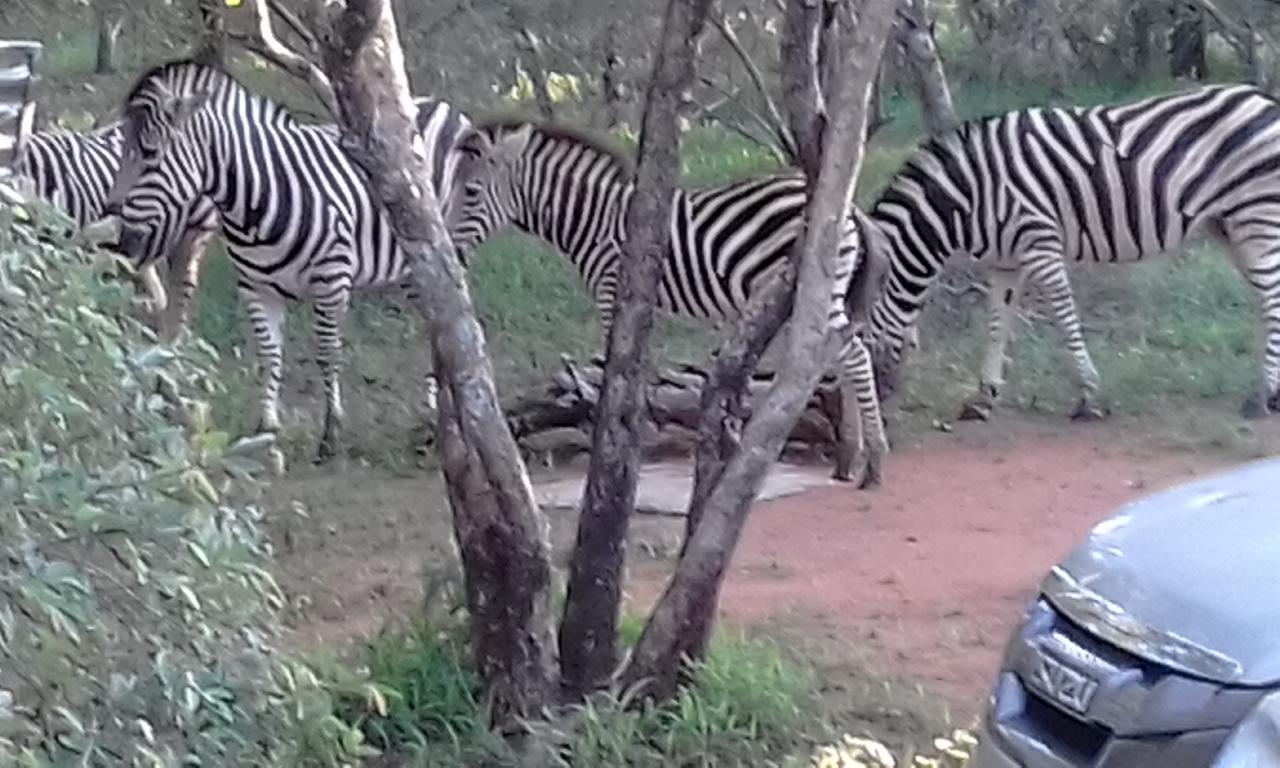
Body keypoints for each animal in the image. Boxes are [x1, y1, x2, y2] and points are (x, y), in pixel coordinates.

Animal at [101, 60, 471, 460]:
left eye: (150, 154)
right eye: (124, 152)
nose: (118, 238)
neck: (254, 203)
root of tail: (440, 104)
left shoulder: (331, 282)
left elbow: (327, 354)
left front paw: (331, 433)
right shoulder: (257, 289)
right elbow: (269, 354)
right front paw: (267, 427)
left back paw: (441, 418)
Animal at [450, 118, 890, 486]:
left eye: (470, 192)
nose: (452, 254)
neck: (590, 219)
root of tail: (845, 204)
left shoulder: (614, 290)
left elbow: (617, 369)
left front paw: (620, 438)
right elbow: (642, 370)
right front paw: (639, 432)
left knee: (855, 355)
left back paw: (874, 460)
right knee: (844, 353)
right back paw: (850, 457)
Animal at [860, 80, 1280, 422]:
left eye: (854, 335)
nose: (879, 409)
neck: (965, 197)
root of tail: (1264, 98)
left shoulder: (1039, 242)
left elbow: (1065, 317)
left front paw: (1088, 397)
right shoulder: (1003, 263)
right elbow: (997, 324)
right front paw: (983, 398)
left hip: (1256, 218)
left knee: (1272, 297)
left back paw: (1263, 398)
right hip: (1229, 225)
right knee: (1264, 298)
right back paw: (1267, 390)